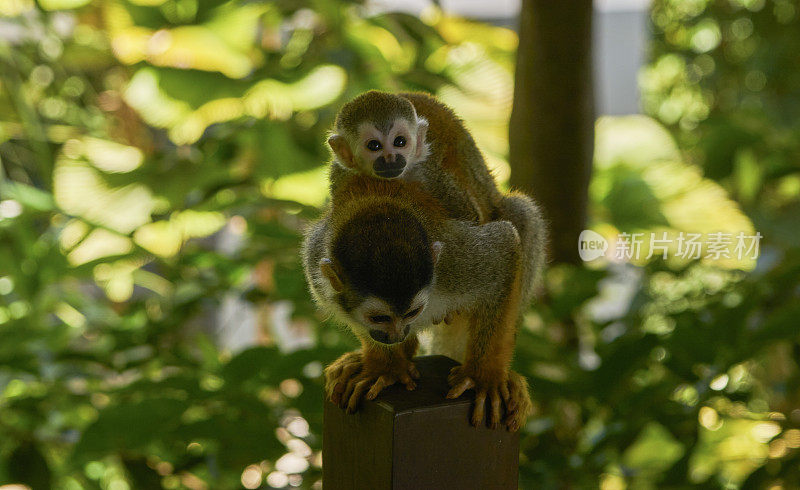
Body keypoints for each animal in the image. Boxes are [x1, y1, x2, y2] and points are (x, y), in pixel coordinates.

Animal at [304, 91, 548, 428]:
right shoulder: (319, 258)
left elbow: (502, 243)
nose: (391, 159)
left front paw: (483, 378)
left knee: (519, 214)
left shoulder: (454, 252)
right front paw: (386, 367)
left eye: (400, 141)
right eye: (373, 145)